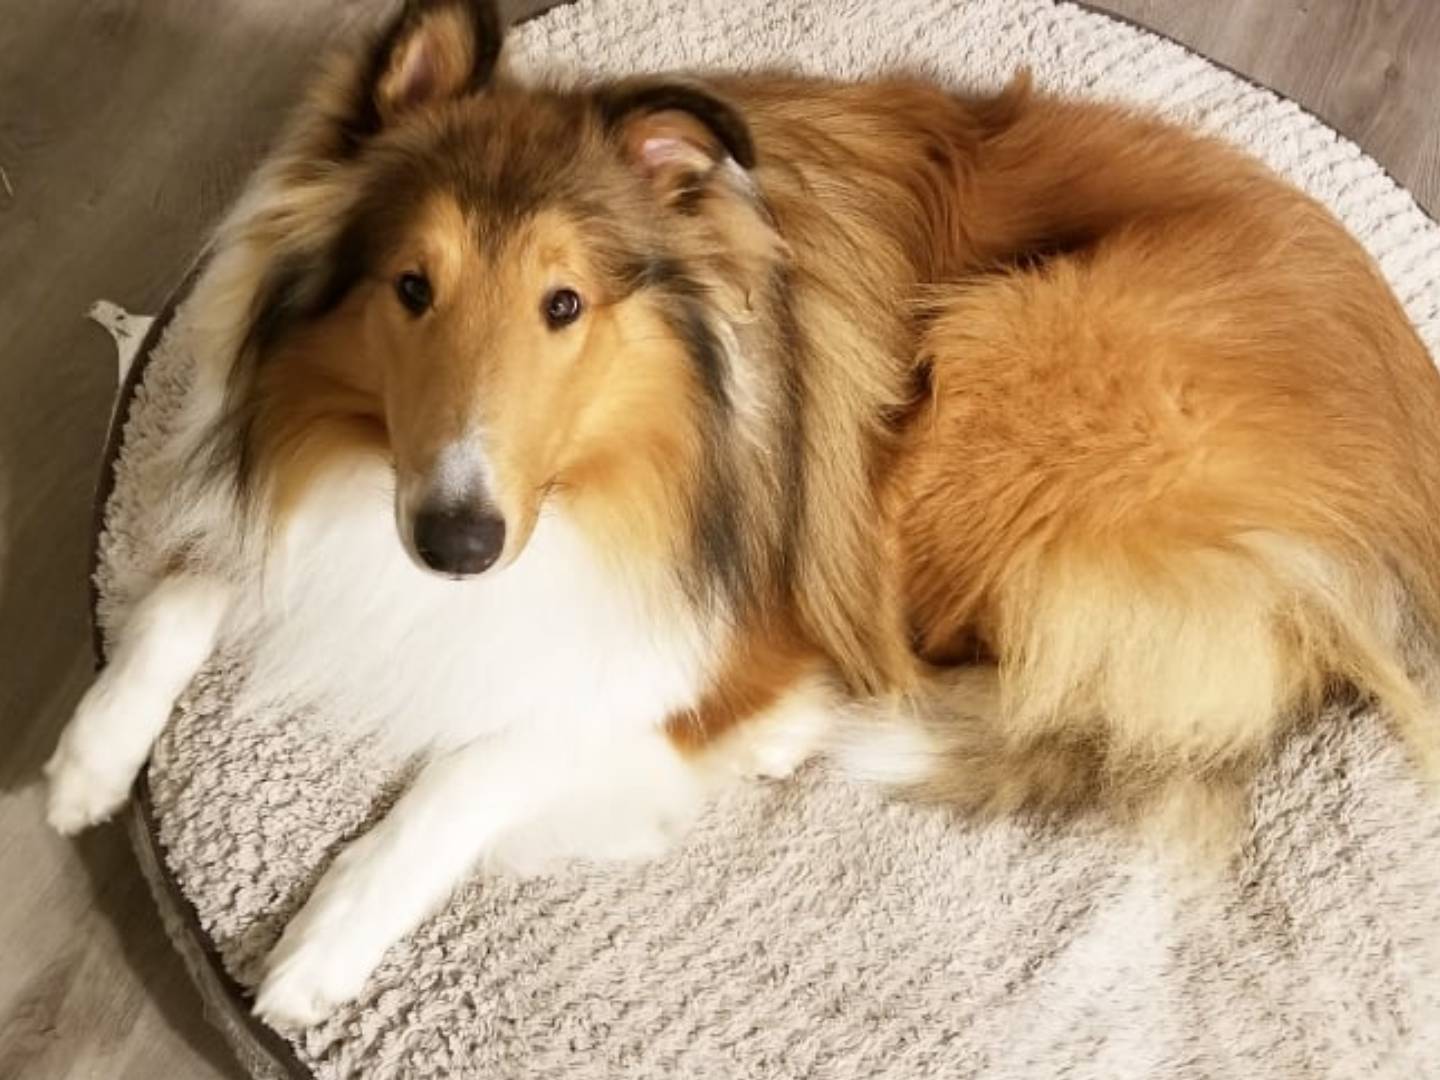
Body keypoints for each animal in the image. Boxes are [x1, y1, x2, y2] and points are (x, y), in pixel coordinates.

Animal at [42, 0, 1440, 1031]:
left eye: (564, 304)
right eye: (409, 287)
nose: (457, 547)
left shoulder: (709, 627)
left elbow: (476, 763)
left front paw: (322, 945)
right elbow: (186, 589)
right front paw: (85, 762)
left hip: (1003, 367)